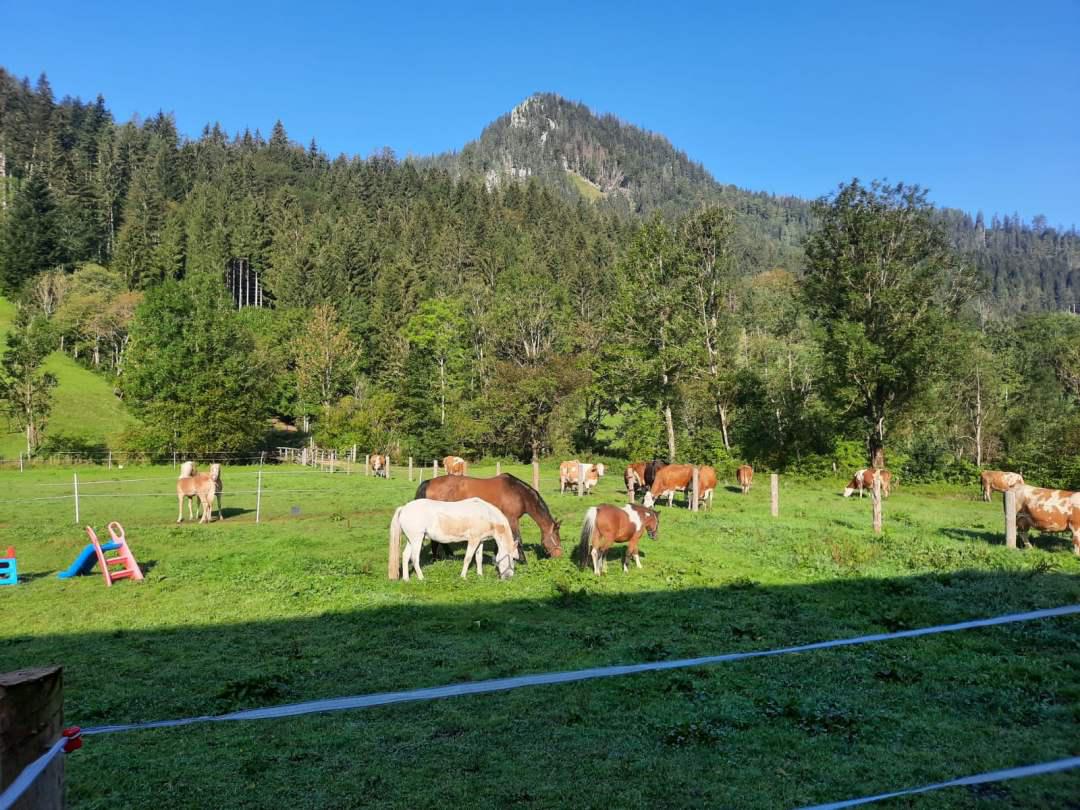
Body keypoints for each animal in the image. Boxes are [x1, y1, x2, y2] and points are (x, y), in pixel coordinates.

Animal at [388, 498, 518, 578]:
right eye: (512, 558)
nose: (509, 577)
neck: (487, 515)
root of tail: (404, 508)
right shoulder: (473, 540)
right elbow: (468, 558)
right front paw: (463, 577)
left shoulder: (480, 541)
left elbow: (478, 558)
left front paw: (480, 575)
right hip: (417, 539)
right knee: (414, 558)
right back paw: (421, 578)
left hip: (411, 540)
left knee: (405, 556)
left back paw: (406, 579)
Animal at [414, 475, 565, 557]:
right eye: (556, 537)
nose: (559, 555)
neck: (518, 493)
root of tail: (430, 481)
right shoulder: (512, 519)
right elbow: (517, 539)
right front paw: (522, 560)